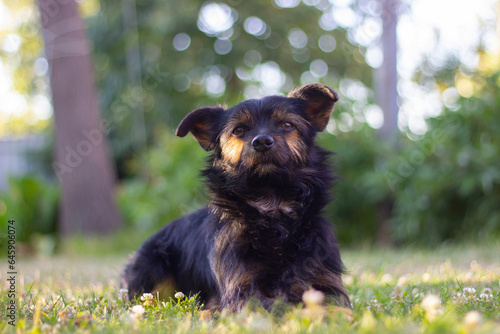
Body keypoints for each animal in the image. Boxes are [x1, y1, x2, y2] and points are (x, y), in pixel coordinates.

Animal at [122, 83, 350, 310]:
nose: (262, 141)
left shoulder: (326, 282)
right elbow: (274, 307)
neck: (272, 204)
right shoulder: (241, 290)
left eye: (287, 125)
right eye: (239, 130)